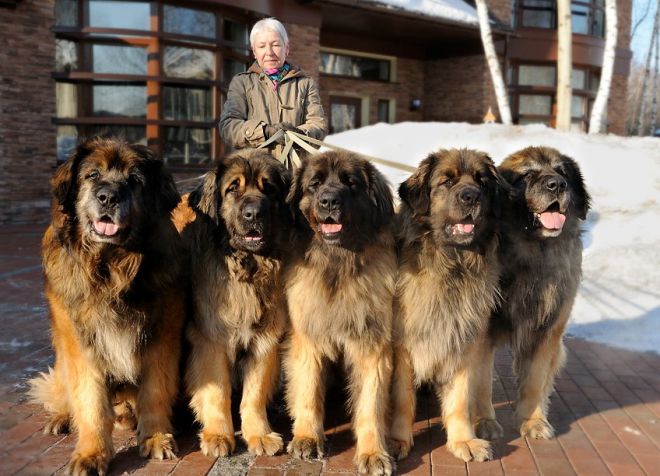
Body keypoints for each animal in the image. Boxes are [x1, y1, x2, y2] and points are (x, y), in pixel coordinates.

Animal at [29, 136, 184, 474]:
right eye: (92, 175)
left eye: (135, 180)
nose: (108, 197)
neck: (110, 269)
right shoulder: (81, 344)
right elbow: (90, 403)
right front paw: (92, 453)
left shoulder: (161, 337)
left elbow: (155, 391)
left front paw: (155, 437)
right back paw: (62, 418)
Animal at [175, 148, 292, 458]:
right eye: (232, 189)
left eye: (269, 188)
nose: (253, 214)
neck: (247, 269)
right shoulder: (211, 340)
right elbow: (218, 392)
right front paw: (218, 434)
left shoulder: (263, 340)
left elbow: (254, 394)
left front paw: (259, 434)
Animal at [284, 151, 398, 474]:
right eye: (315, 183)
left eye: (350, 182)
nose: (329, 201)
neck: (337, 264)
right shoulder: (309, 338)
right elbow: (308, 389)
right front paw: (307, 437)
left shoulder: (372, 345)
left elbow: (370, 404)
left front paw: (373, 453)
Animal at [390, 148, 502, 462]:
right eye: (447, 181)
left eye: (482, 182)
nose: (471, 196)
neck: (452, 266)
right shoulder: (403, 346)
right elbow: (402, 398)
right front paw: (397, 440)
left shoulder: (462, 339)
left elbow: (460, 399)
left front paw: (464, 440)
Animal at [472, 147, 592, 440]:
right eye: (527, 174)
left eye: (562, 172)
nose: (557, 185)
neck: (534, 253)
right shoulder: (482, 332)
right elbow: (481, 382)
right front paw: (484, 422)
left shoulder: (547, 332)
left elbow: (535, 380)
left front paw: (532, 420)